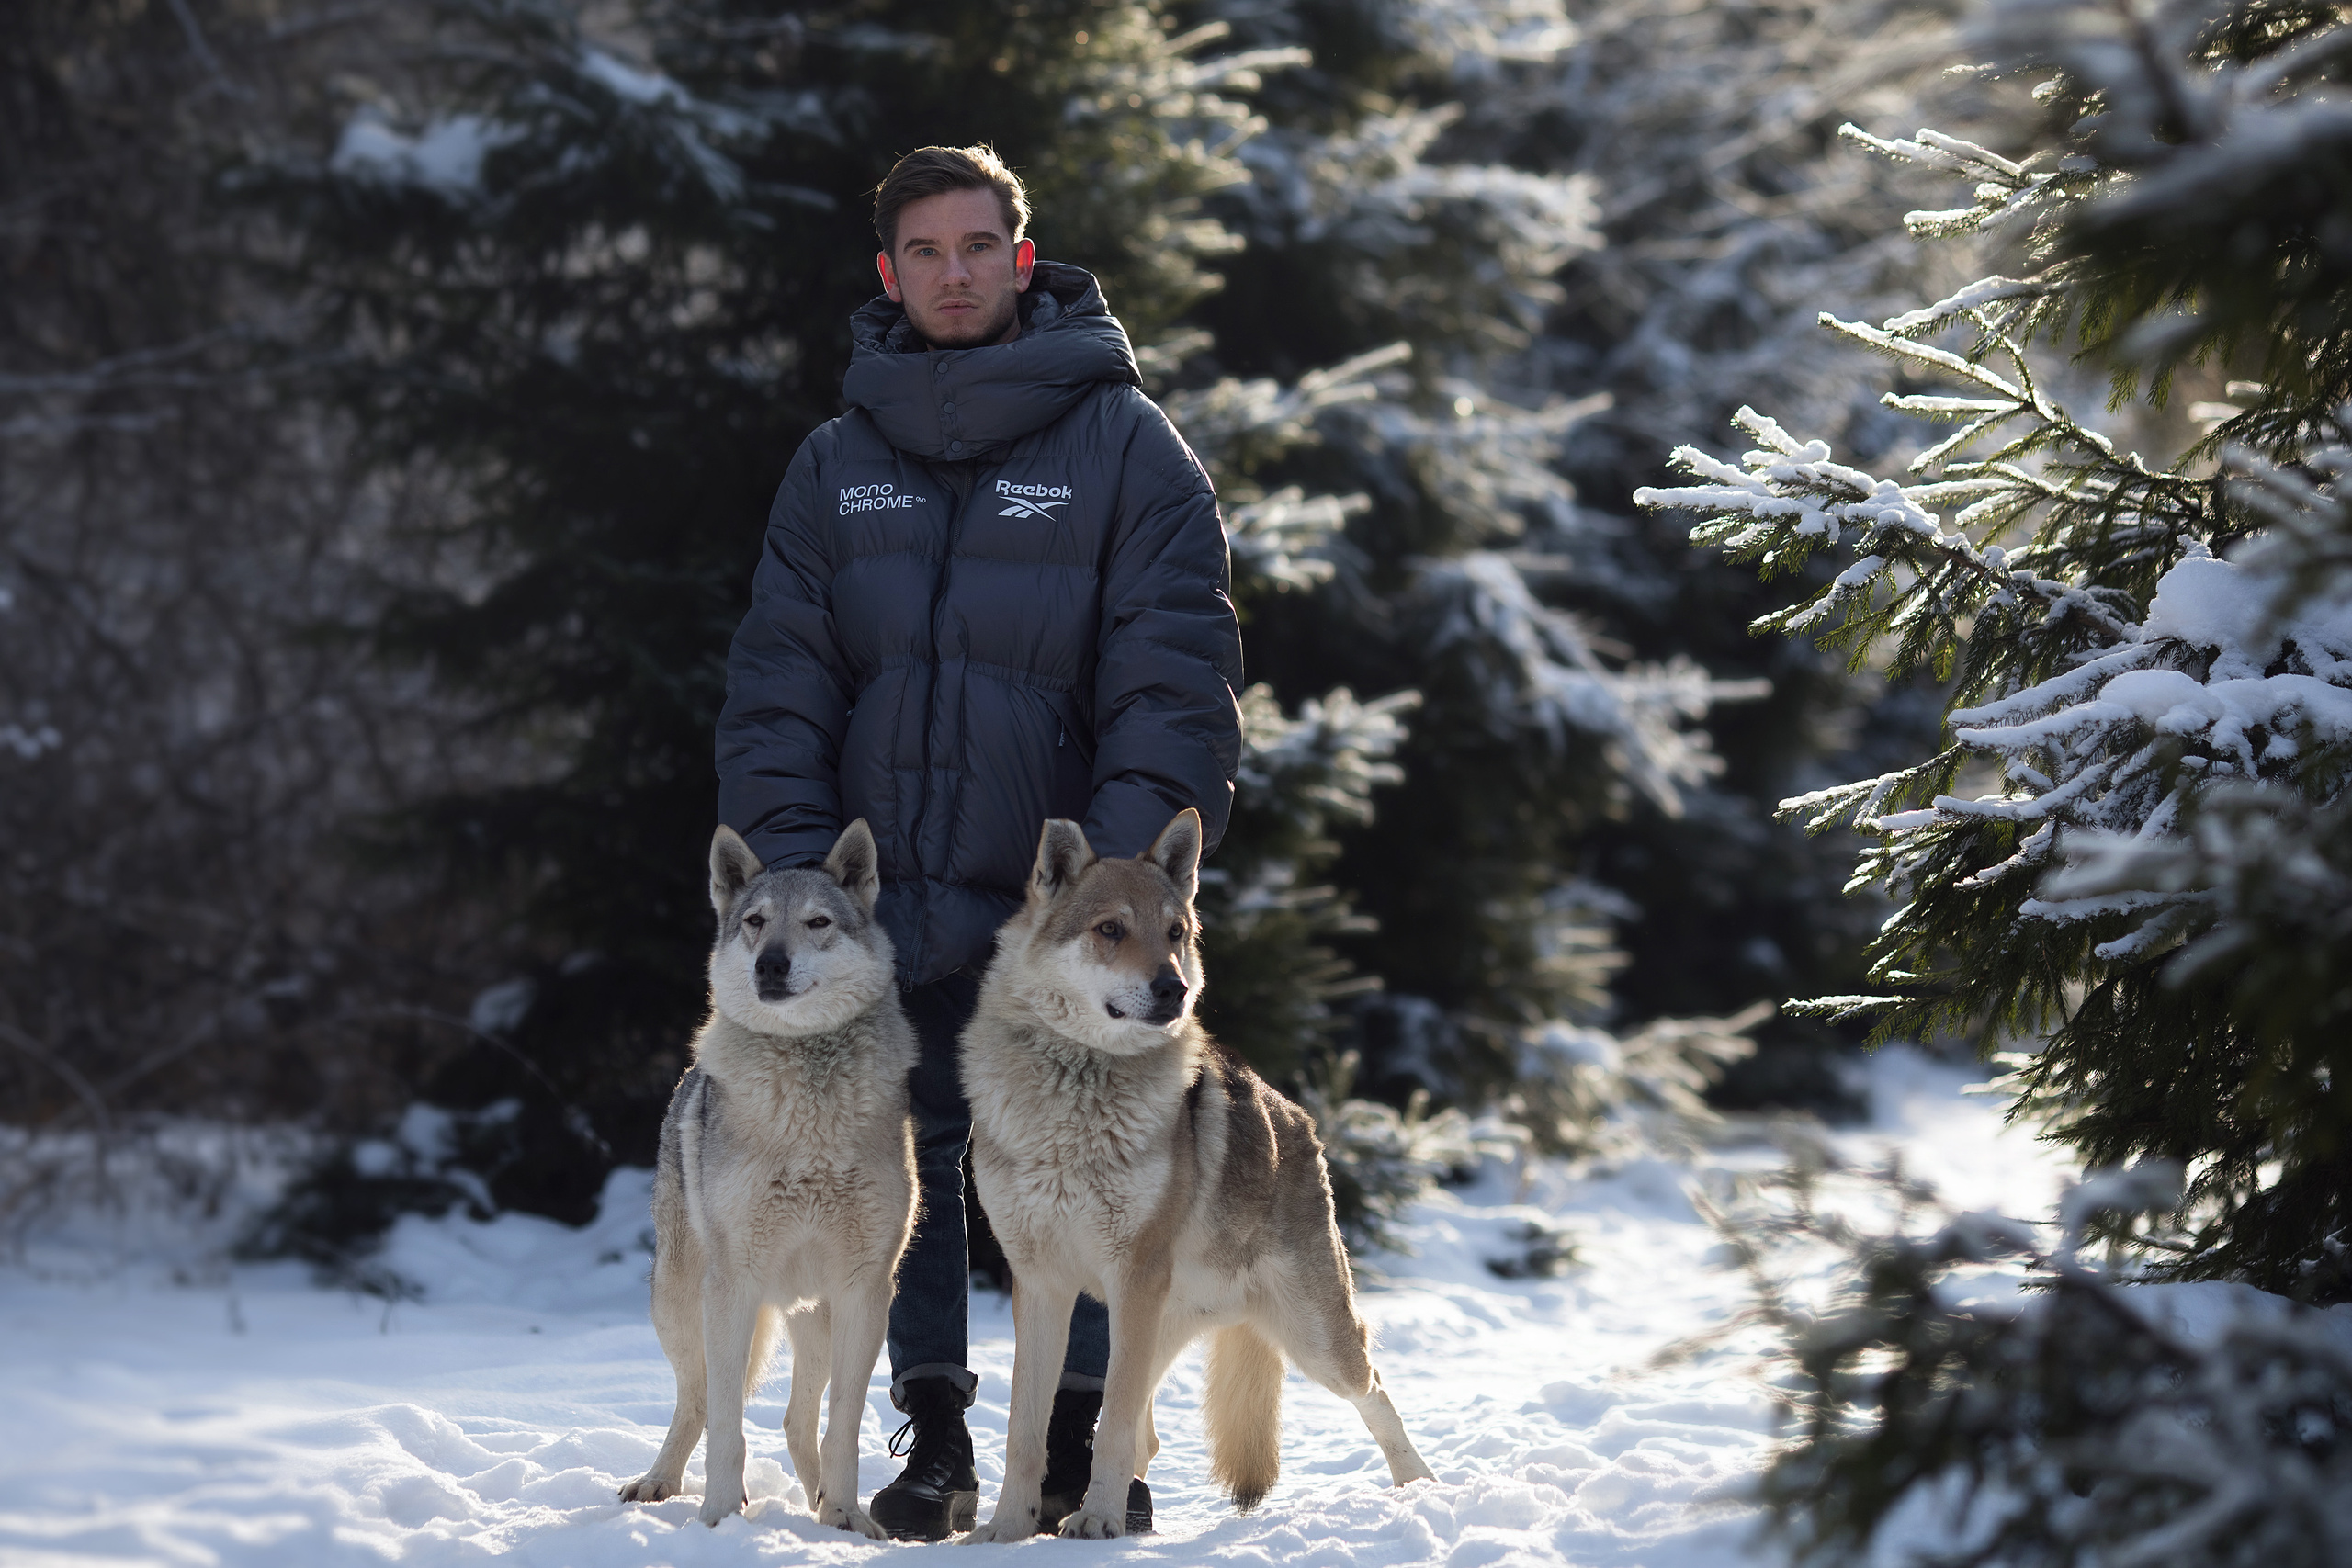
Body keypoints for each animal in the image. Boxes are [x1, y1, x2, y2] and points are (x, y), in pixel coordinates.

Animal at [617, 820, 917, 1535]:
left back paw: (820, 1504)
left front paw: (849, 1519)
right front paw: (720, 1518)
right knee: (697, 1399)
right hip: (681, 1303)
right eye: (755, 922)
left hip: (815, 1319)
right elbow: (727, 1425)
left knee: (795, 1420)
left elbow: (844, 1426)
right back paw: (661, 1482)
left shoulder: (866, 1290)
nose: (770, 963)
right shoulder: (734, 1285)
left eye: (817, 922)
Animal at [958, 810, 1435, 1541]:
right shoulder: (1039, 1284)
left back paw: (1424, 1491)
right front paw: (1009, 1529)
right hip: (1161, 1325)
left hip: (1312, 1339)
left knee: (1376, 1390)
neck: (1077, 1090)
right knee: (1145, 1433)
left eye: (1175, 933)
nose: (1173, 988)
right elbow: (1024, 1431)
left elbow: (1109, 1427)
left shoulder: (1132, 1277)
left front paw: (1098, 1523)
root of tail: (1300, 1119)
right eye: (1111, 929)